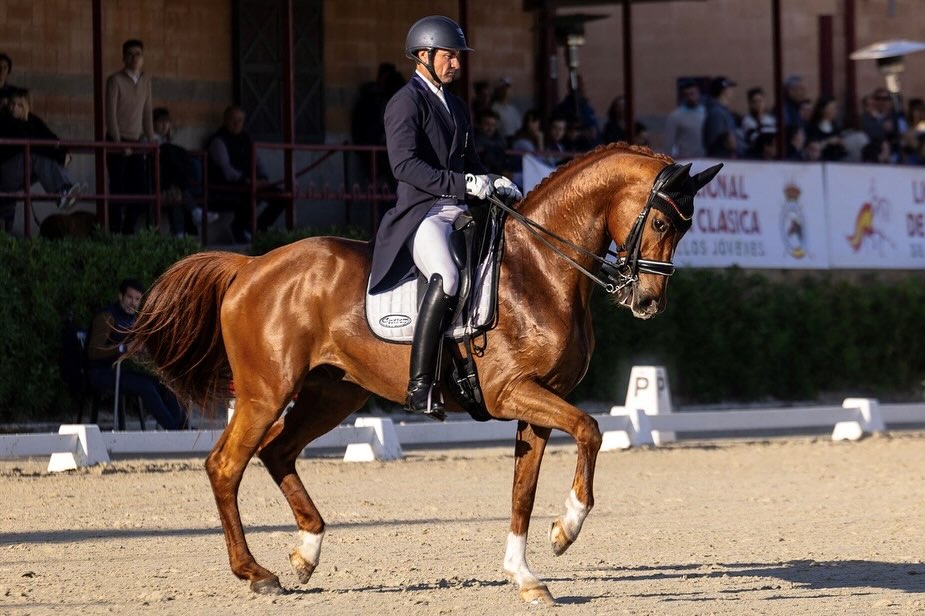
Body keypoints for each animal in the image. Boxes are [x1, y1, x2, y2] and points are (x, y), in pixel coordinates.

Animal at [128, 143, 720, 600]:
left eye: (686, 229)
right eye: (661, 221)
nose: (647, 302)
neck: (542, 268)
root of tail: (250, 266)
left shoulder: (538, 400)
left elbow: (523, 490)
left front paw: (524, 576)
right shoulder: (512, 392)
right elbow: (591, 429)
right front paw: (566, 529)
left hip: (331, 394)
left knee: (277, 451)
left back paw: (306, 551)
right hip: (265, 390)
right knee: (226, 465)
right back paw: (256, 573)